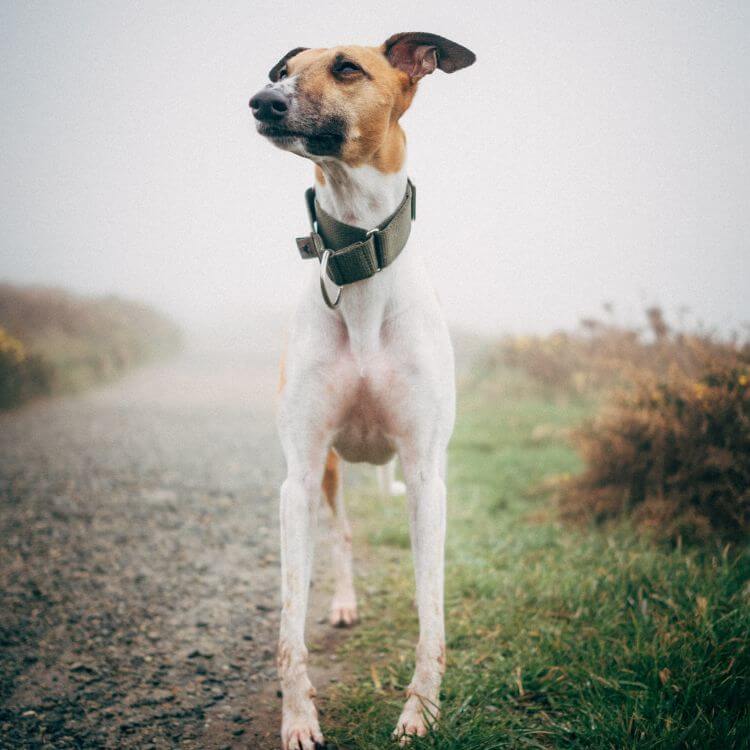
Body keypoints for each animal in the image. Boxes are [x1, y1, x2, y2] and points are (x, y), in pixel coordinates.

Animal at [251, 32, 476, 748]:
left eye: (347, 68)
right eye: (282, 71)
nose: (261, 100)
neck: (361, 266)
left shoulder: (428, 473)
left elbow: (431, 611)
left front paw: (419, 711)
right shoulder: (296, 476)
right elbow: (288, 626)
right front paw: (298, 718)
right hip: (326, 468)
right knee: (343, 536)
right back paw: (345, 601)